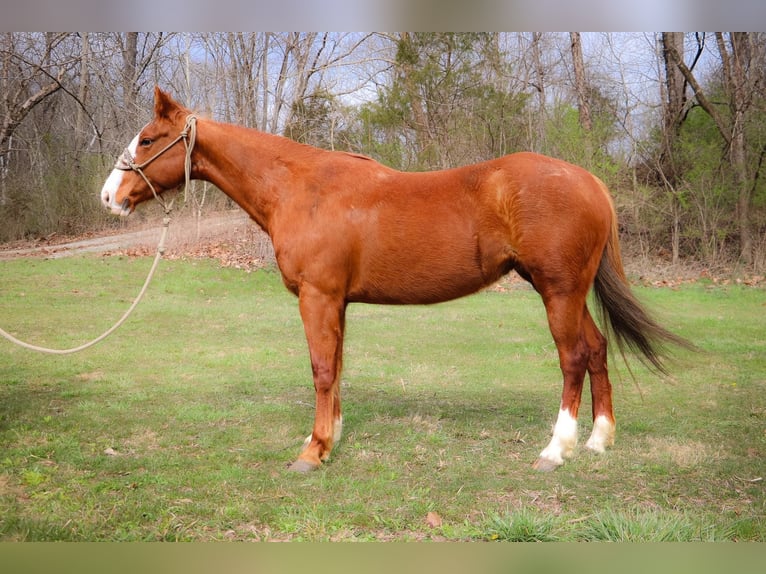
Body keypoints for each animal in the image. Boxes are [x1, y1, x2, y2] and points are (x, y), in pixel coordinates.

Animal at [100, 88, 684, 474]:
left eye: (148, 139)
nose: (110, 196)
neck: (301, 188)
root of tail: (590, 182)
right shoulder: (336, 301)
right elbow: (336, 368)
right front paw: (329, 439)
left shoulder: (317, 297)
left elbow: (321, 370)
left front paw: (311, 453)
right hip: (569, 291)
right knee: (597, 348)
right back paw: (598, 441)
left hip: (558, 291)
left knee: (573, 358)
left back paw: (556, 449)